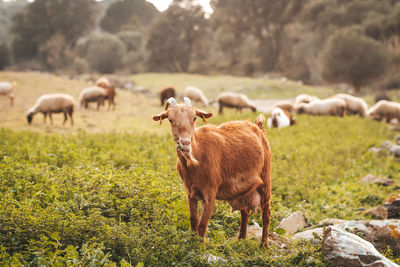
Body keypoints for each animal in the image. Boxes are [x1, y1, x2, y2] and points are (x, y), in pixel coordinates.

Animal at [153, 97, 272, 248]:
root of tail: (258, 126)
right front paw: (192, 244)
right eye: (170, 119)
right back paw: (240, 240)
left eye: (194, 118)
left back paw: (263, 245)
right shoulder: (189, 192)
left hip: (265, 179)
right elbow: (193, 220)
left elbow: (202, 224)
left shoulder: (210, 192)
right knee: (245, 212)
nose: (185, 143)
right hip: (244, 189)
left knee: (266, 214)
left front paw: (200, 247)